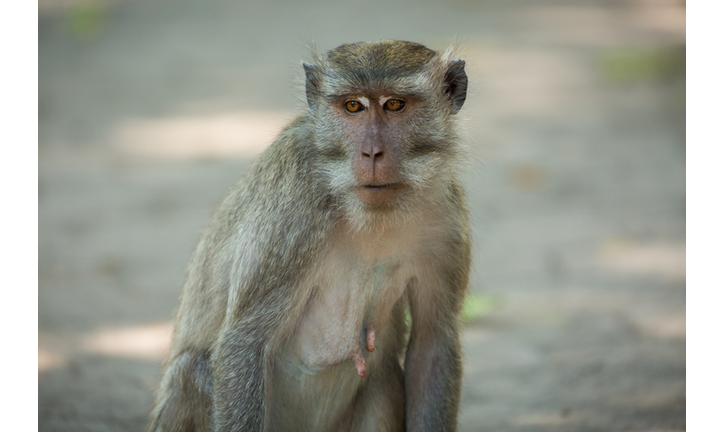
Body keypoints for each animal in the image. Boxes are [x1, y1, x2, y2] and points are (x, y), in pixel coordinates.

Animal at [148, 40, 470, 432]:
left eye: (394, 104)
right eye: (353, 106)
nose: (371, 152)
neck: (371, 216)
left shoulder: (446, 221)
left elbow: (432, 339)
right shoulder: (294, 208)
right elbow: (244, 340)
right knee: (192, 368)